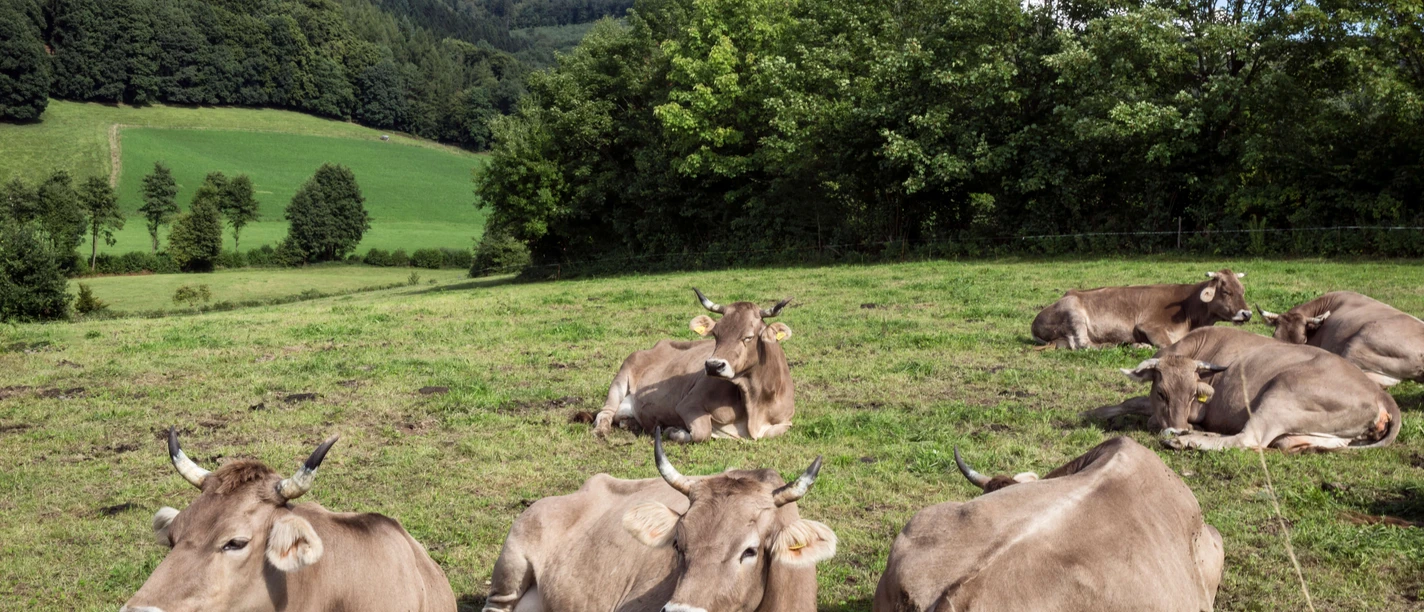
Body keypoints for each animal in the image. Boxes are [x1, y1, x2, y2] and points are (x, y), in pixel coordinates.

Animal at [593, 288, 796, 443]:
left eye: (748, 336)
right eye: (716, 334)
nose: (713, 366)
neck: (755, 402)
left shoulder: (786, 421)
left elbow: (774, 431)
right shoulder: (689, 404)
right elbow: (701, 433)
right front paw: (672, 430)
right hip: (620, 380)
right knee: (605, 413)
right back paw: (601, 430)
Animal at [1031, 270, 1251, 349]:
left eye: (1242, 290)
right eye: (1226, 291)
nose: (1247, 314)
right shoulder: (1150, 326)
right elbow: (1169, 345)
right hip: (1074, 313)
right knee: (1085, 344)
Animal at [1120, 343, 1402, 451]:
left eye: (1193, 394)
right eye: (1161, 393)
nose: (1179, 428)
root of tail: (1380, 393)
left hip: (1281, 392)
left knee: (1248, 439)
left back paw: (1183, 440)